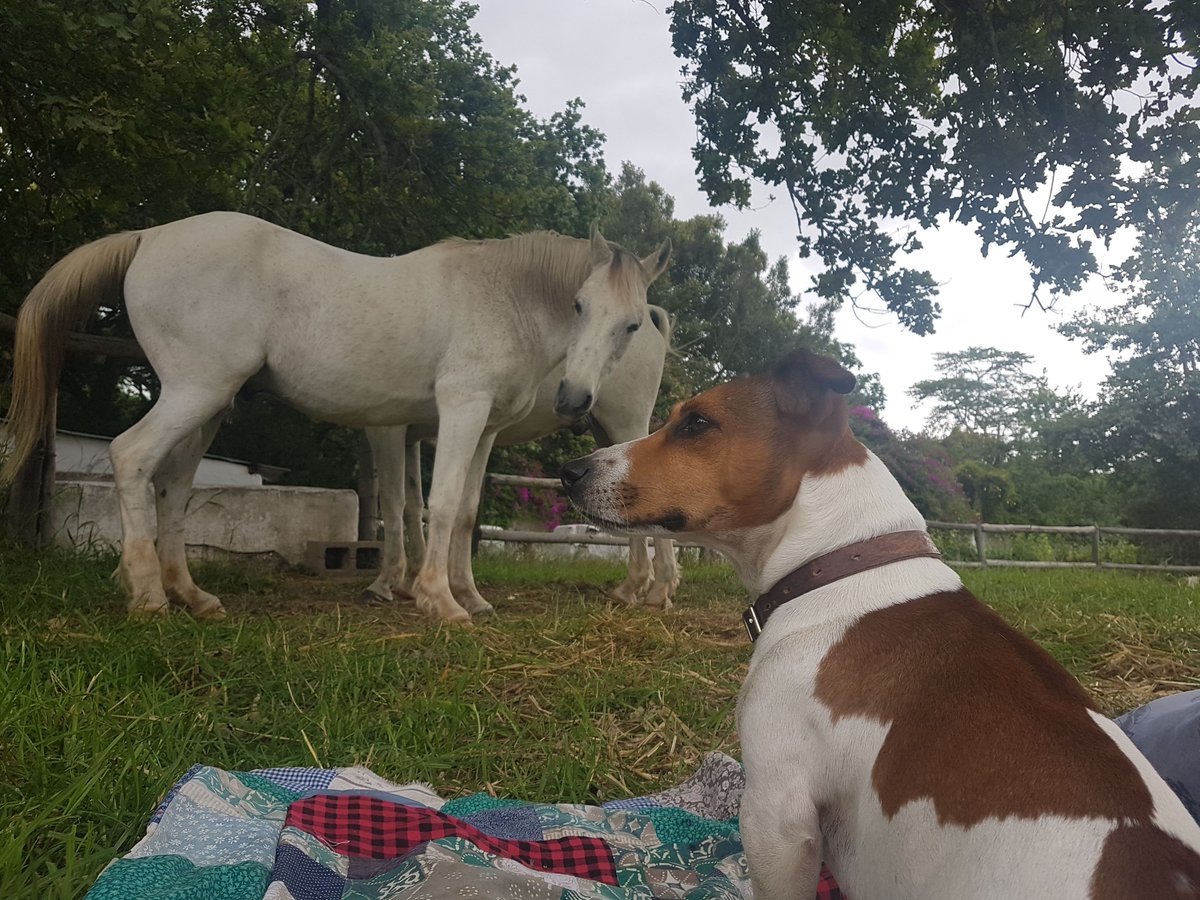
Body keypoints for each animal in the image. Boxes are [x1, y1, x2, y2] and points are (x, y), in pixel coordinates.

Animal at [362, 304, 680, 615]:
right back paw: (631, 588)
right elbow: (413, 505)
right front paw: (409, 580)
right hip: (606, 432)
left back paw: (658, 590)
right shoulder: (410, 437)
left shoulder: (386, 428)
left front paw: (385, 582)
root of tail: (648, 312)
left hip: (625, 424)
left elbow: (392, 502)